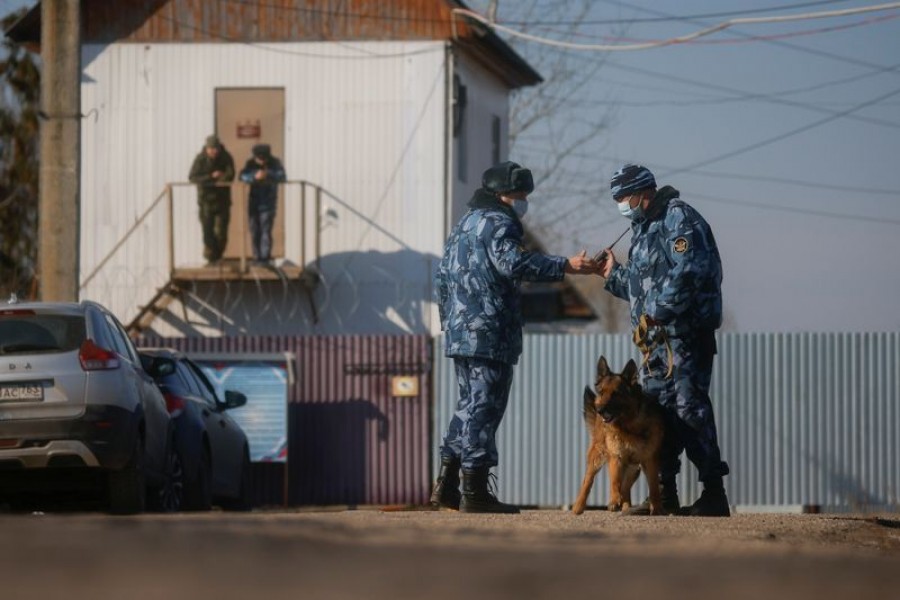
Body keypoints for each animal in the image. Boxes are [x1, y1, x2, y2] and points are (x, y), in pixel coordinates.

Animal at [572, 356, 664, 516]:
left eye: (616, 393)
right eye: (602, 392)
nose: (599, 410)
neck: (628, 425)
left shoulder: (650, 460)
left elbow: (653, 486)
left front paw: (657, 507)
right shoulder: (616, 457)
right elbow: (615, 482)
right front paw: (614, 501)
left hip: (634, 468)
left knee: (626, 487)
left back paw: (626, 507)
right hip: (598, 456)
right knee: (588, 481)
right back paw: (578, 507)